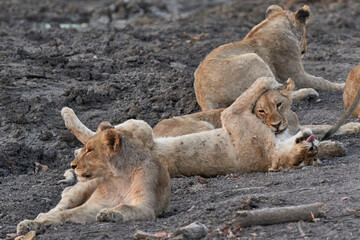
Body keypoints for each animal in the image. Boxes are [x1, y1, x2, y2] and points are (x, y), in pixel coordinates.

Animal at [17, 120, 172, 234]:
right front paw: (32, 223)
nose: (72, 165)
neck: (119, 178)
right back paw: (36, 219)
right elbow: (64, 214)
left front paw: (109, 213)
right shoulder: (93, 206)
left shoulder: (146, 206)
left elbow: (125, 207)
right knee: (56, 208)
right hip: (79, 190)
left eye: (90, 150)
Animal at [59, 77, 326, 178]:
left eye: (307, 157)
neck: (274, 151)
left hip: (141, 127)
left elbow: (259, 82)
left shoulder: (232, 115)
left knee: (99, 134)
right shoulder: (234, 114)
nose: (312, 145)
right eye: (263, 110)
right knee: (96, 133)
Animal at [194, 4, 344, 110]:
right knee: (278, 93)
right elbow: (321, 81)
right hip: (254, 59)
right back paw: (309, 93)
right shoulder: (296, 75)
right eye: (306, 33)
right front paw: (342, 86)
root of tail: (205, 99)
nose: (304, 50)